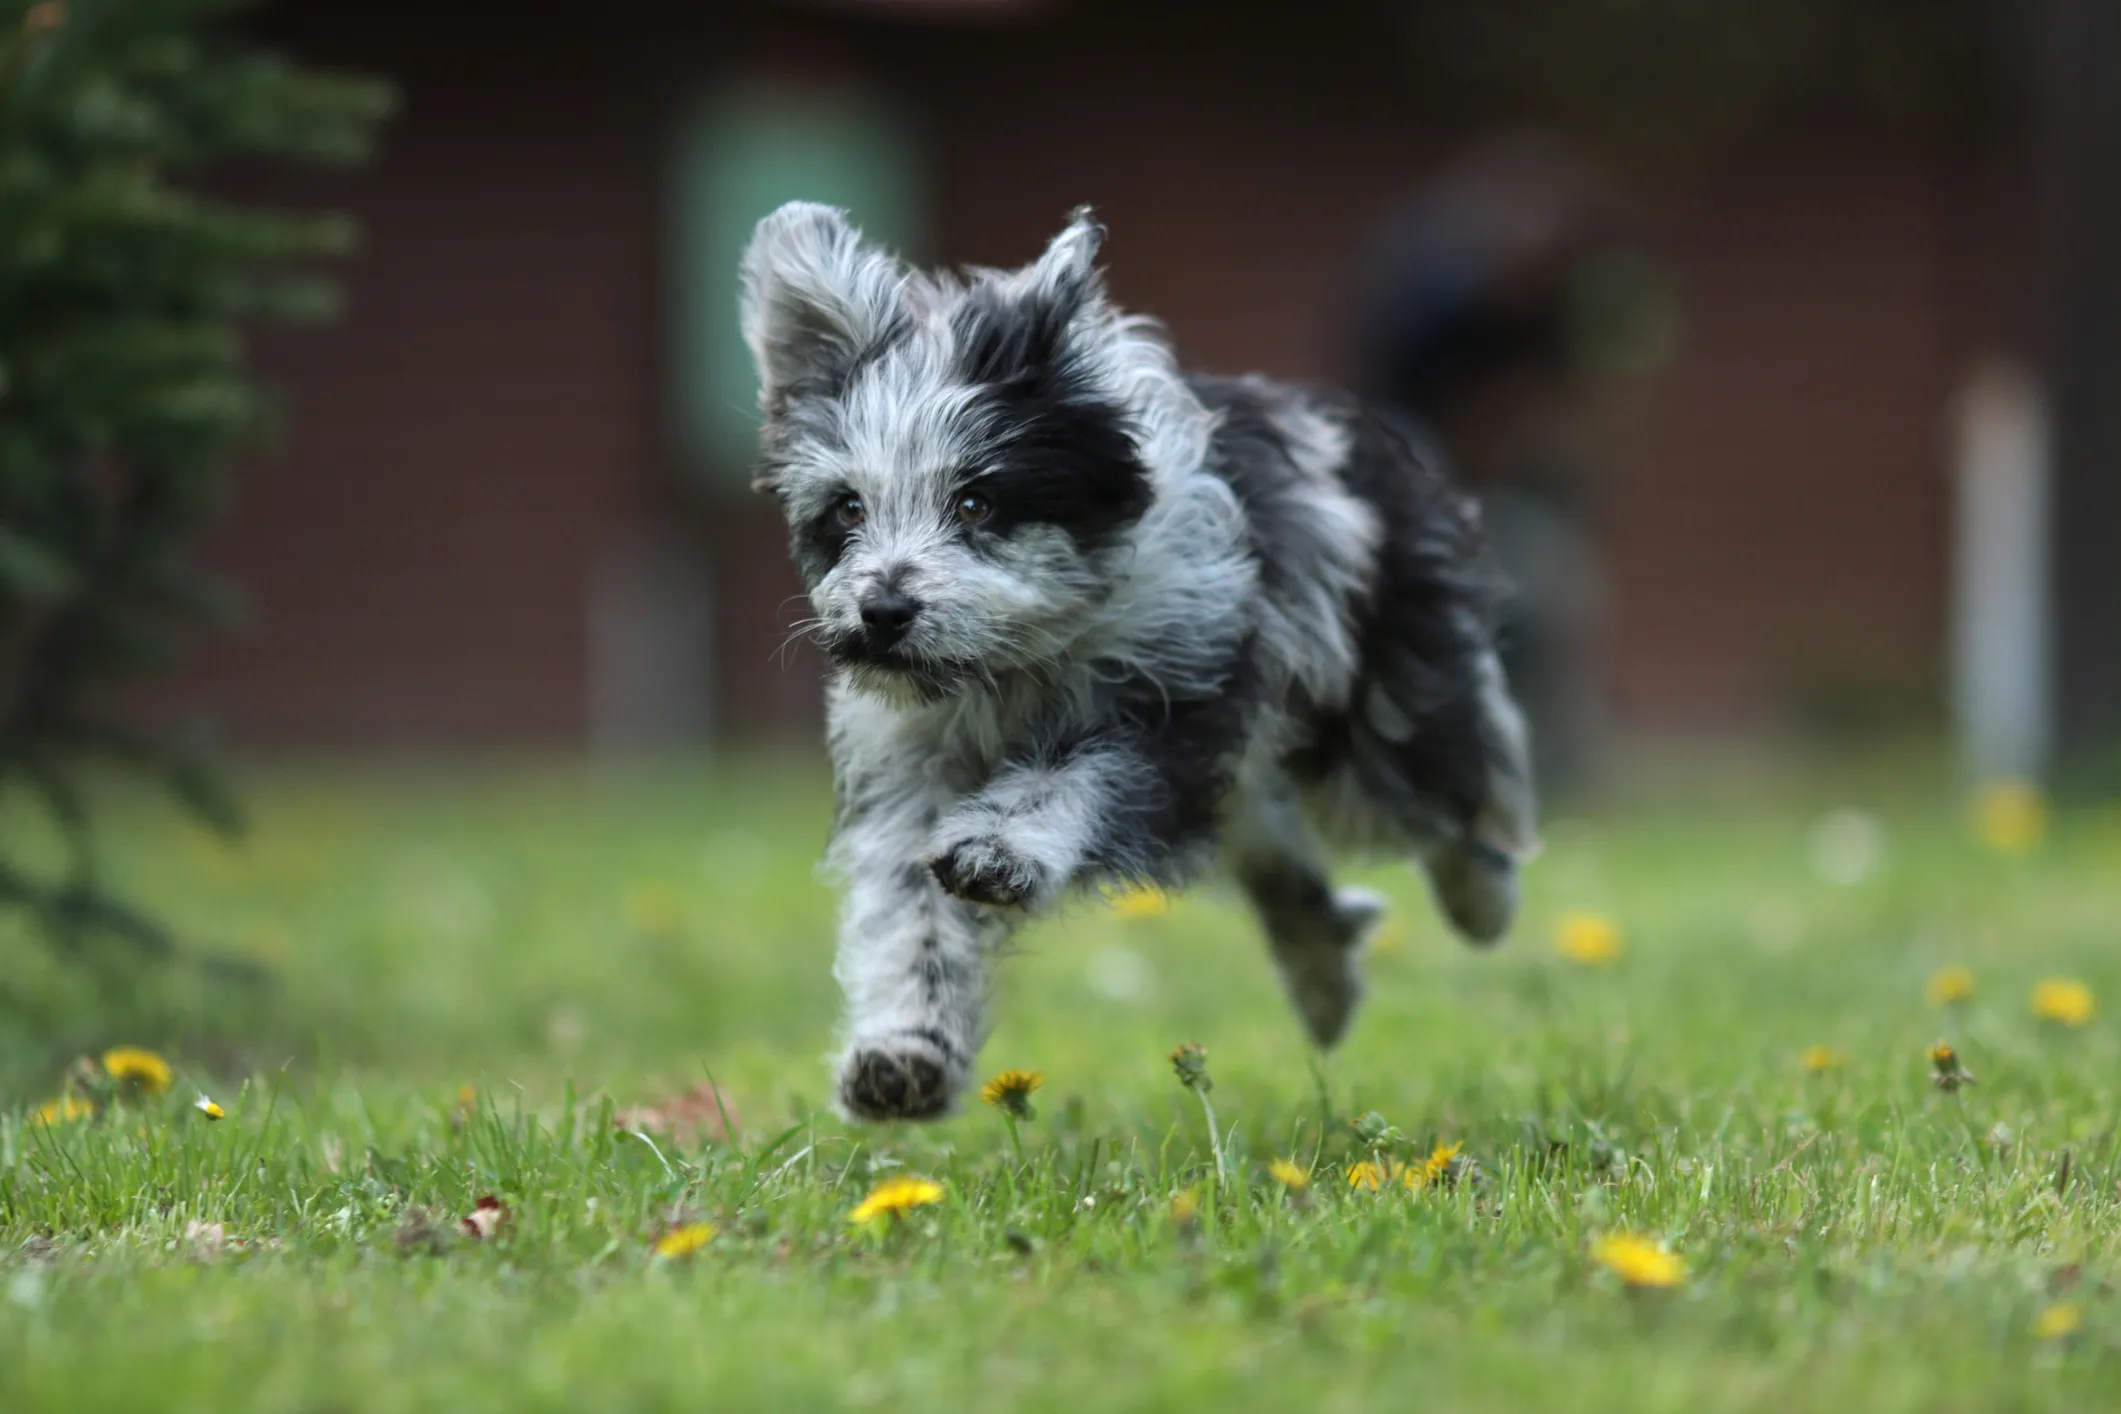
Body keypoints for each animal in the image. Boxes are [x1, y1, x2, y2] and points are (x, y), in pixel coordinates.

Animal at [738, 201, 1535, 1127]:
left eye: (976, 502)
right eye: (847, 508)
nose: (884, 613)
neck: (1008, 669)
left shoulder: (1170, 695)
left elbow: (1068, 782)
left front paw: (998, 849)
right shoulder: (908, 766)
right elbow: (913, 915)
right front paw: (904, 1056)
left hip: (1381, 697)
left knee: (1442, 787)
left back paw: (1482, 901)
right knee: (1281, 862)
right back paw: (1324, 978)